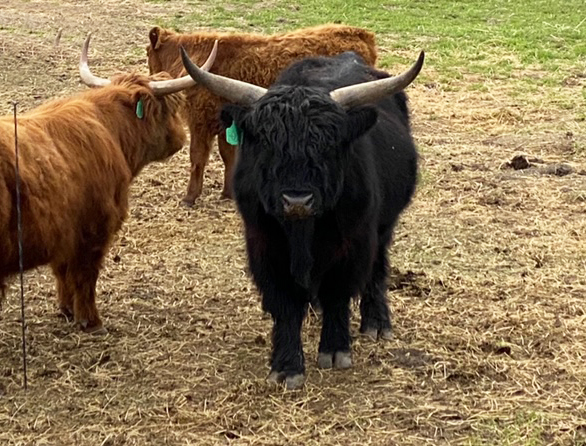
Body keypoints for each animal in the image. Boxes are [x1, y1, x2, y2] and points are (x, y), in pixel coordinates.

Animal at [0, 34, 217, 332]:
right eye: (171, 109)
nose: (180, 139)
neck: (110, 130)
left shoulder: (64, 235)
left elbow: (63, 274)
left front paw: (67, 309)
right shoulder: (96, 228)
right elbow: (85, 277)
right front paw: (91, 321)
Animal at [144, 24, 376, 206]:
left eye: (147, 53)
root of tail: (361, 34)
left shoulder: (200, 123)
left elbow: (197, 158)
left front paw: (189, 197)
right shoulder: (224, 124)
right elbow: (227, 155)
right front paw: (227, 193)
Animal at [180, 48, 422, 388]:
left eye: (328, 145)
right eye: (267, 143)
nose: (297, 200)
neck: (302, 231)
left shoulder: (353, 243)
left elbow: (338, 293)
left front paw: (335, 350)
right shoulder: (264, 245)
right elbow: (285, 303)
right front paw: (286, 365)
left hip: (384, 226)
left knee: (377, 269)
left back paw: (376, 322)